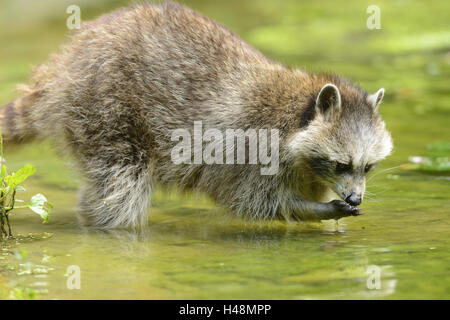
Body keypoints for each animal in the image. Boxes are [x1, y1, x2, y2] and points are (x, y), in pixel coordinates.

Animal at [0, 1, 390, 228]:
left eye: (368, 167)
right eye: (341, 164)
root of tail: (62, 68)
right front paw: (318, 210)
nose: (354, 198)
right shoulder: (251, 148)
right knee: (123, 180)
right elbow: (255, 203)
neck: (297, 109)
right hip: (105, 108)